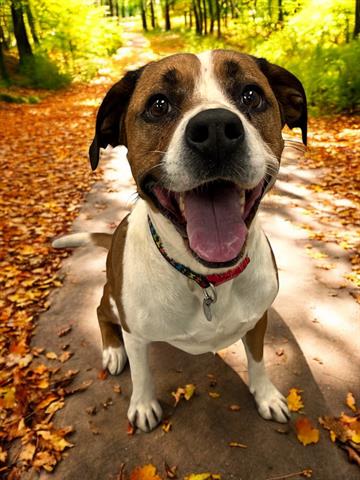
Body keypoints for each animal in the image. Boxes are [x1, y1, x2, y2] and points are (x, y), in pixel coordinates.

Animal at [53, 50, 306, 434]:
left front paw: (266, 395)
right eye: (159, 105)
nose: (215, 130)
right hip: (112, 300)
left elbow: (258, 360)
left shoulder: (258, 320)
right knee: (100, 312)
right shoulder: (135, 332)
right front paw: (143, 404)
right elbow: (142, 373)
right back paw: (112, 351)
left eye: (251, 95)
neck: (205, 279)